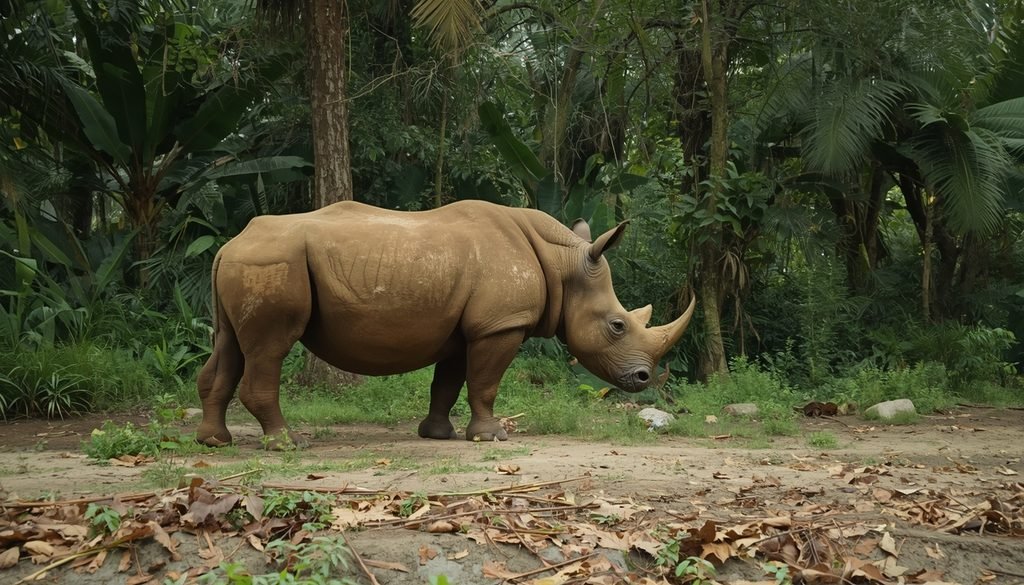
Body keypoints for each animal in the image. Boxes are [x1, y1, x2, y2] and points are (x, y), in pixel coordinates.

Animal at [196, 200, 695, 448]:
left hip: (246, 263)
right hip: (272, 263)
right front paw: (492, 438)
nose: (644, 378)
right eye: (617, 326)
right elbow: (485, 383)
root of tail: (229, 244)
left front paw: (438, 434)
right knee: (270, 348)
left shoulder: (465, 328)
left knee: (231, 348)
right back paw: (285, 444)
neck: (564, 266)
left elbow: (448, 383)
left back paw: (215, 443)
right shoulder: (499, 325)